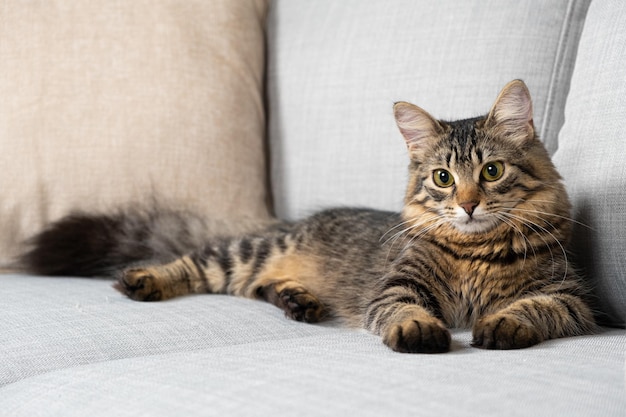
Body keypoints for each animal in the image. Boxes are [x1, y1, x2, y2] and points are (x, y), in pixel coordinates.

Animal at [19, 80, 596, 352]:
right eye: (442, 178)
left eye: (491, 171)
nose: (469, 204)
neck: (477, 251)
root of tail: (290, 224)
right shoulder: (396, 287)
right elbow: (404, 310)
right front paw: (418, 330)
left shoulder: (569, 295)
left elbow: (534, 308)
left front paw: (501, 324)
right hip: (243, 254)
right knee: (194, 264)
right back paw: (141, 279)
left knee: (259, 289)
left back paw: (300, 300)